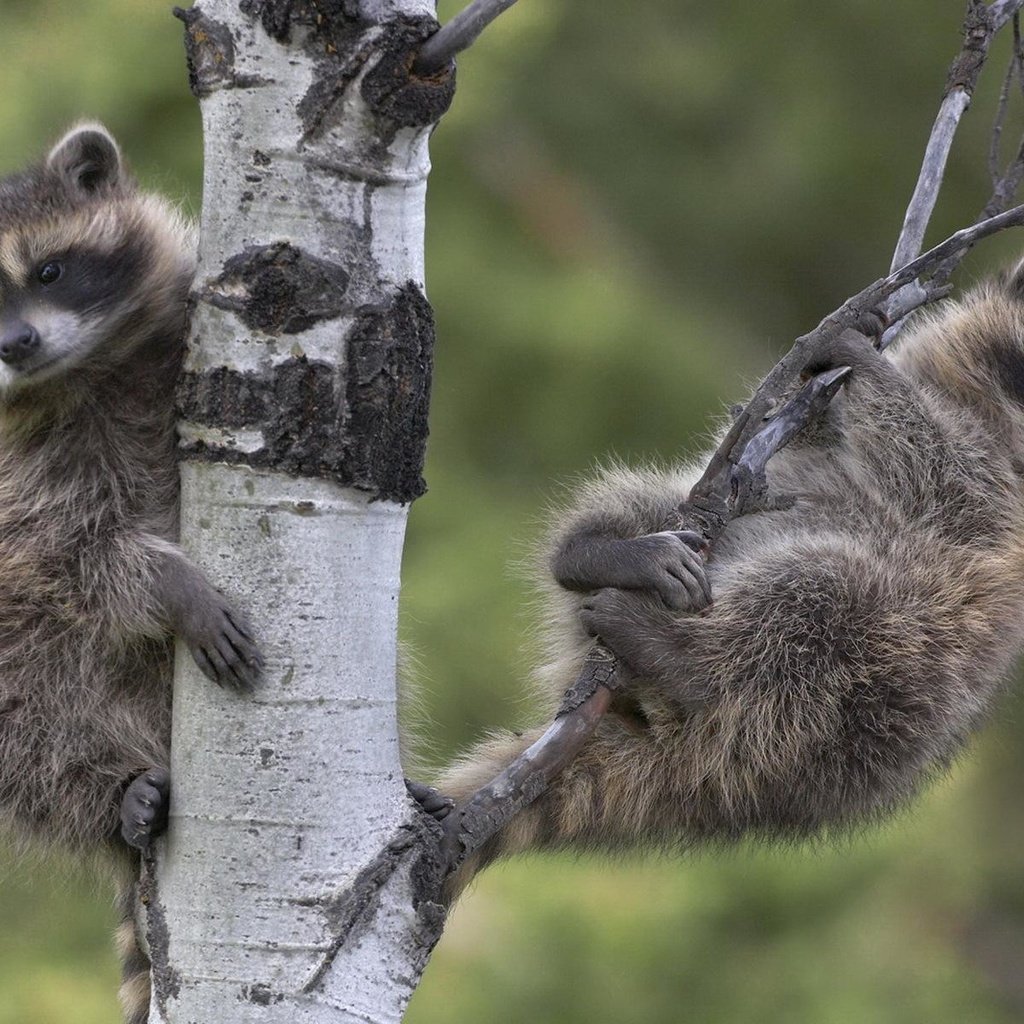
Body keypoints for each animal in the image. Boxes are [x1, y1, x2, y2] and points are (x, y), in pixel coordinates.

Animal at [0, 125, 260, 1024]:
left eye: (49, 271)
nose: (13, 345)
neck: (72, 374)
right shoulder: (21, 487)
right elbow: (71, 552)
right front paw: (169, 587)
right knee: (23, 730)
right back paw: (107, 797)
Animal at [430, 270, 1024, 897]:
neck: (982, 407)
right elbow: (790, 431)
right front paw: (846, 350)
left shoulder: (999, 514)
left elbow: (948, 475)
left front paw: (870, 366)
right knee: (657, 502)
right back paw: (600, 551)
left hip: (879, 693)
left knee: (822, 604)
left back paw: (687, 660)